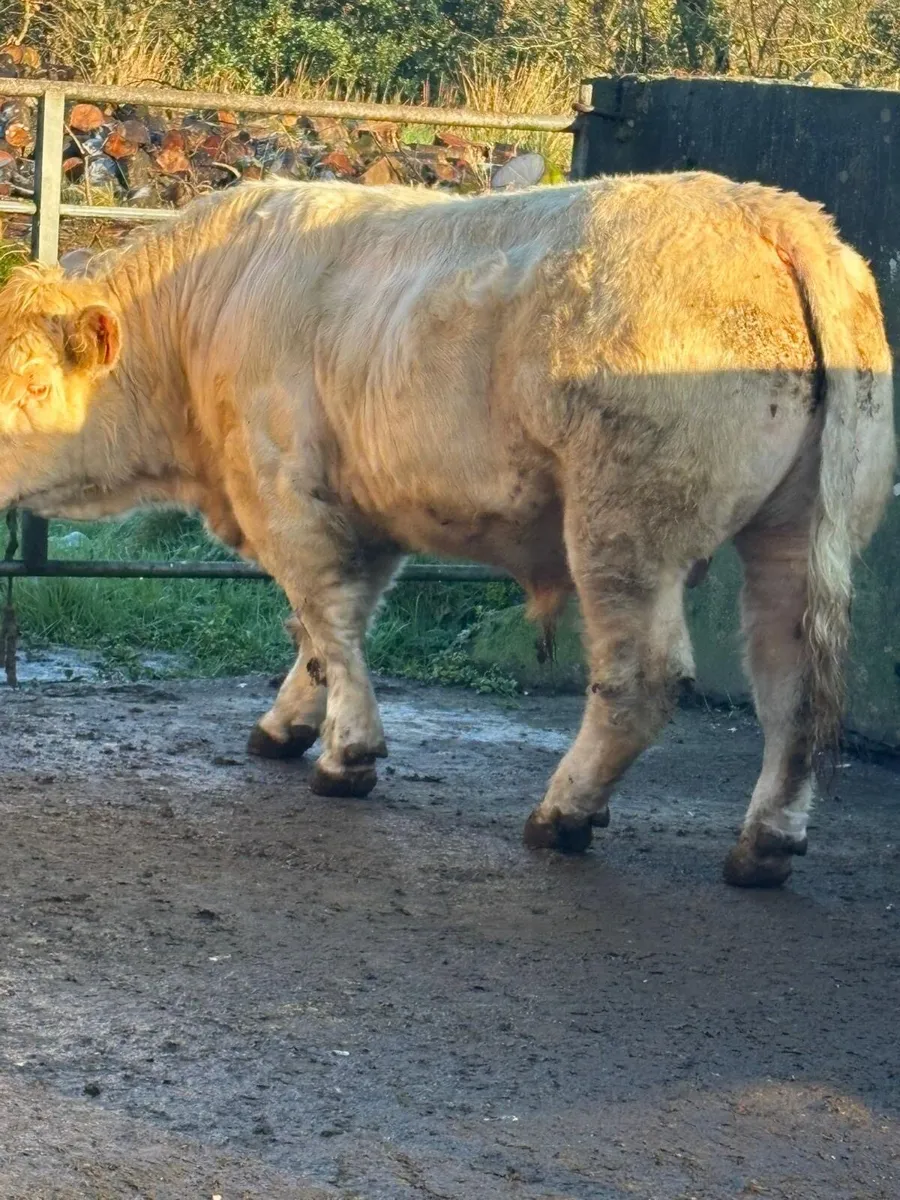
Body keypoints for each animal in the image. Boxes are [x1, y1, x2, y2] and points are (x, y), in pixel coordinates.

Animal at [0, 171, 893, 887]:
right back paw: (765, 842)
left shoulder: (285, 493)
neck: (201, 311)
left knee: (640, 677)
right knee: (790, 681)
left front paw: (348, 754)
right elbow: (328, 628)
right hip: (798, 531)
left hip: (624, 527)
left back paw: (563, 814)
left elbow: (324, 615)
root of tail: (768, 211)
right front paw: (292, 722)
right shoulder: (364, 507)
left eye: (35, 385)